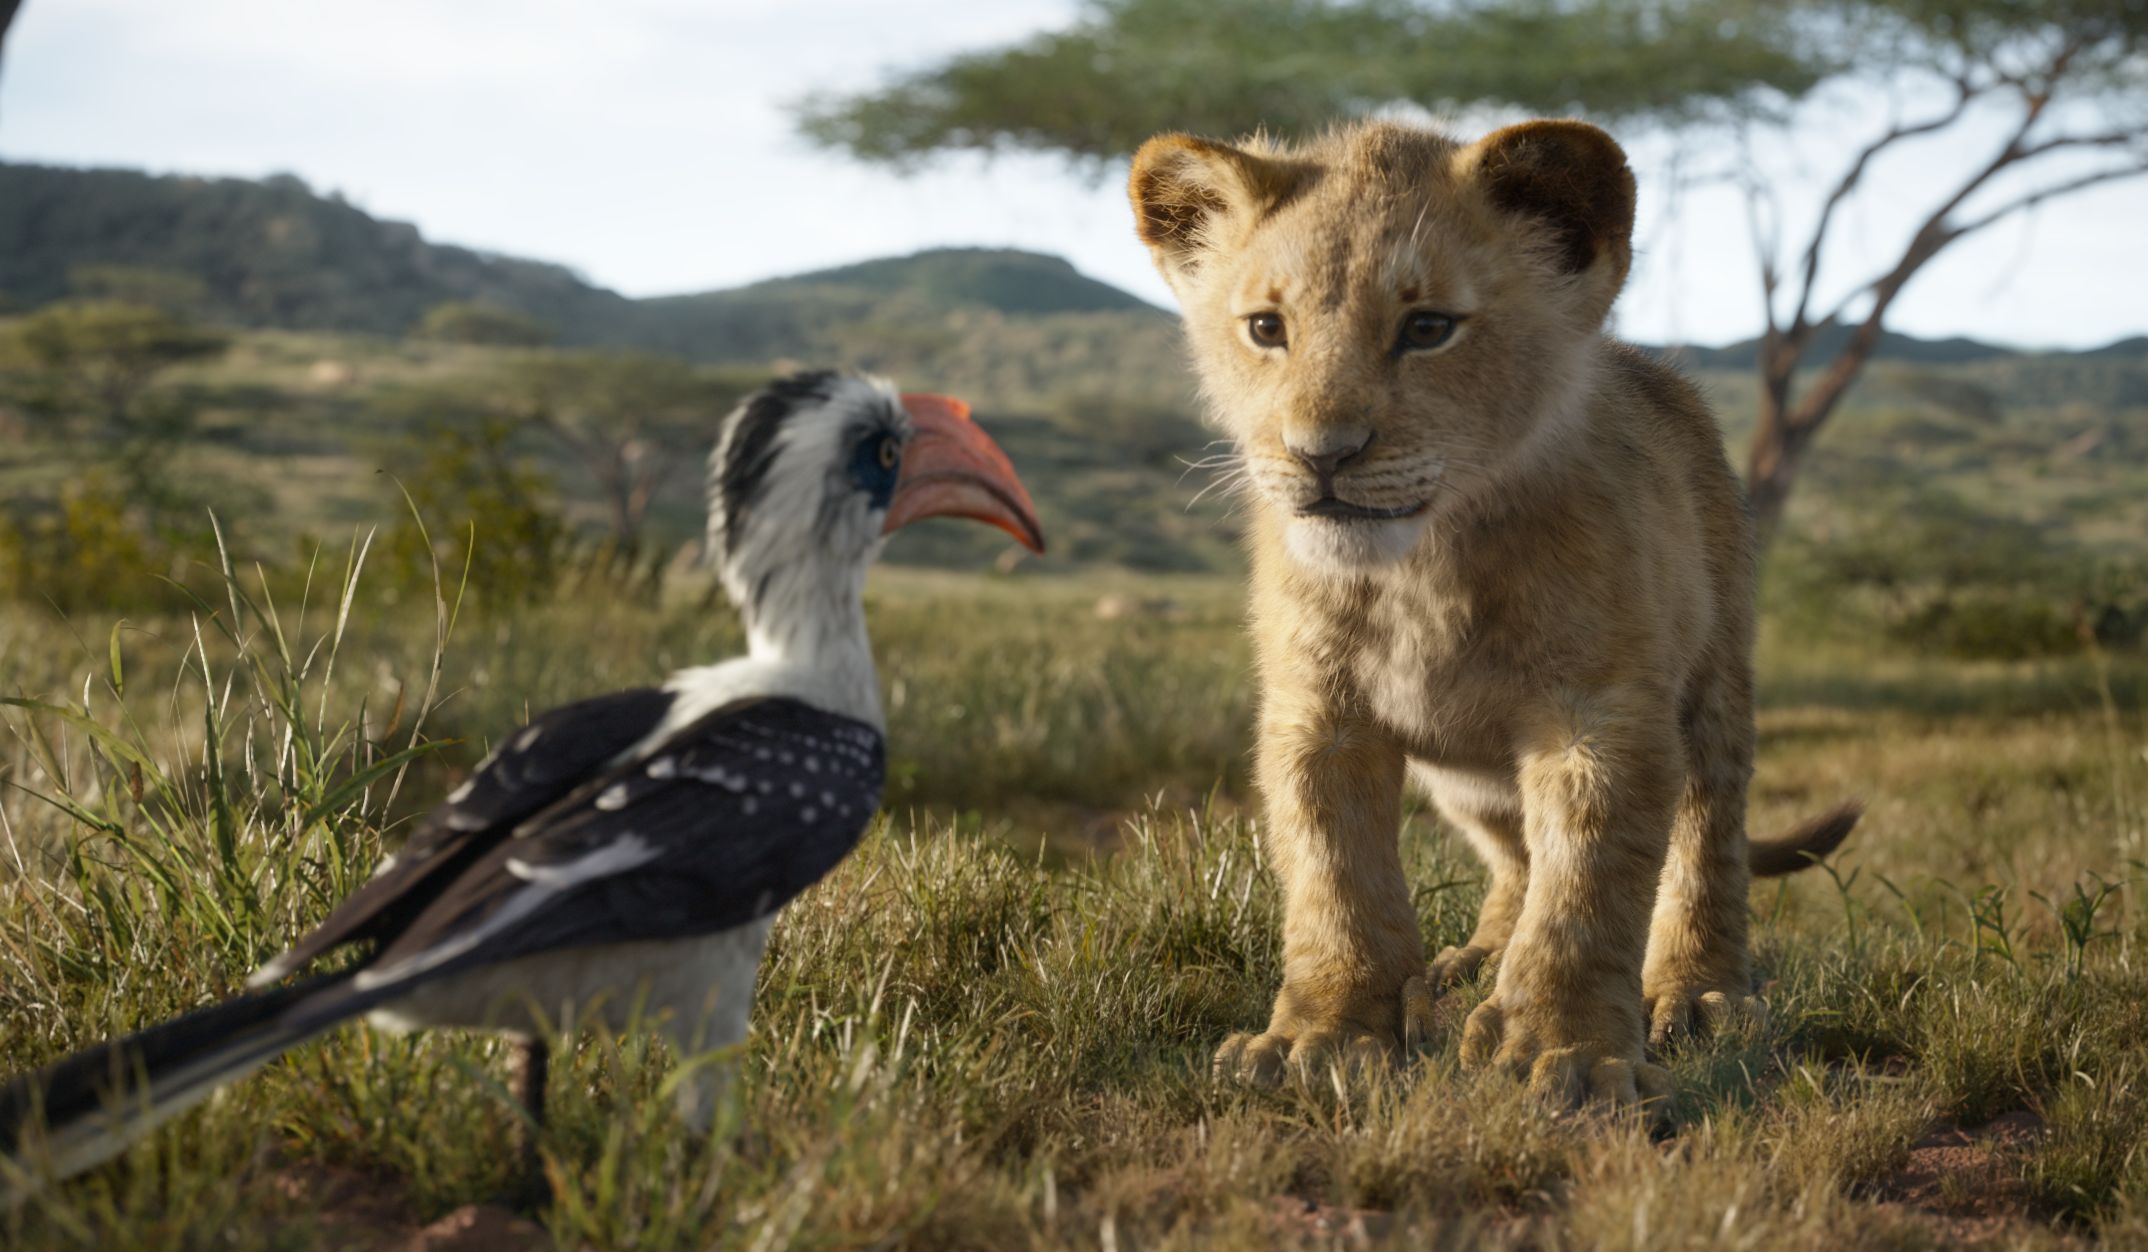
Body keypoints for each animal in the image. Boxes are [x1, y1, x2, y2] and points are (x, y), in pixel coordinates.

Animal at [1127, 118, 1858, 1107]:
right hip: (1466, 778)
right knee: (1515, 855)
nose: (1321, 455)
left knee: (1707, 836)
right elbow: (1334, 878)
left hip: (1714, 684)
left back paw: (1699, 992)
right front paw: (1321, 1037)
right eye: (1266, 329)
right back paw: (1471, 962)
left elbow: (1587, 889)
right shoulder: (1317, 716)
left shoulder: (1600, 715)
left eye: (1428, 328)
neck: (1422, 571)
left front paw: (1568, 1052)